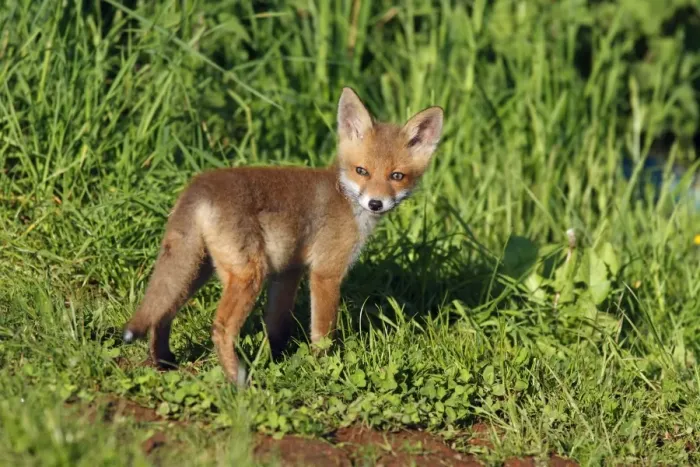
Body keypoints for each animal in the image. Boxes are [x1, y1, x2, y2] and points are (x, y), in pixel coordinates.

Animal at [122, 87, 444, 385]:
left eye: (397, 176)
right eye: (362, 171)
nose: (376, 203)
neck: (346, 197)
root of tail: (199, 185)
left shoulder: (289, 270)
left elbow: (276, 326)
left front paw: (278, 361)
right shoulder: (325, 272)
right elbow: (323, 332)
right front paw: (323, 368)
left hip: (196, 269)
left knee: (162, 313)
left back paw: (165, 362)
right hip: (248, 274)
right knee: (221, 327)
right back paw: (238, 381)